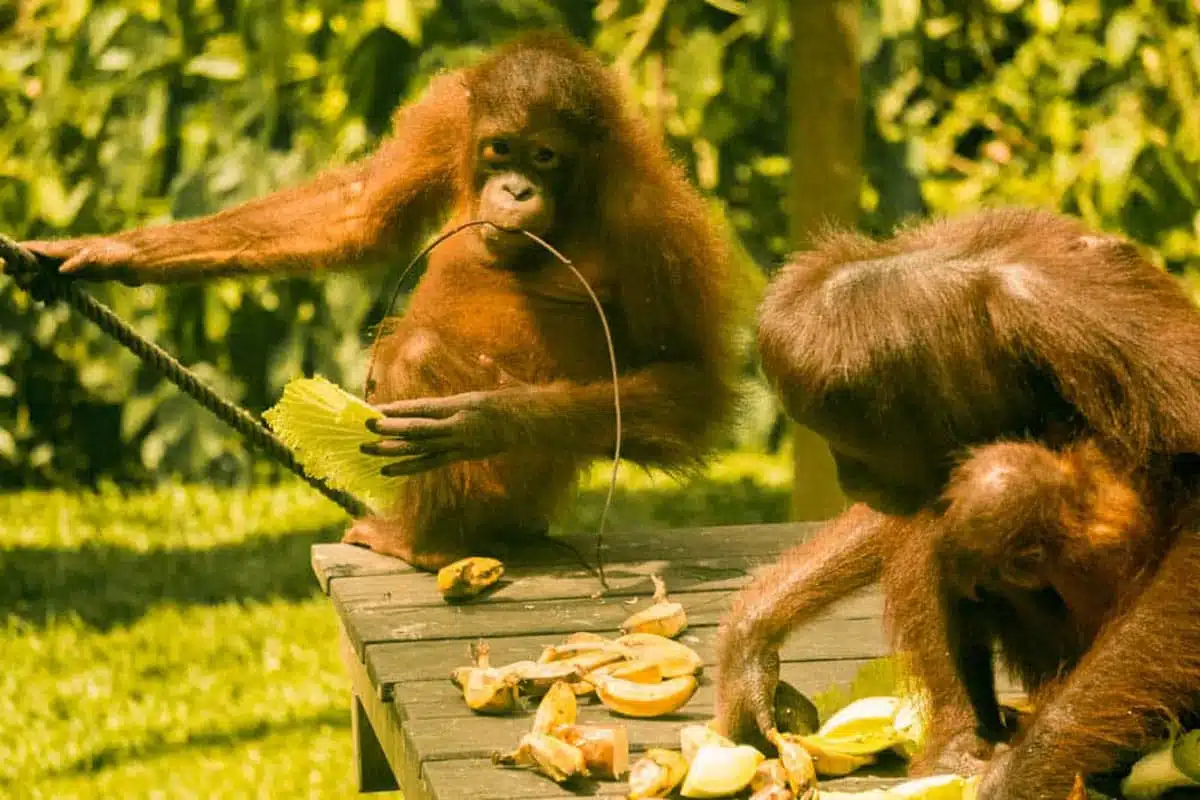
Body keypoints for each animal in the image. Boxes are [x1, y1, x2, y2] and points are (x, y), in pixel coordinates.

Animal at [19, 33, 746, 571]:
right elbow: (359, 212)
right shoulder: (447, 118)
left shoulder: (657, 225)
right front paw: (108, 250)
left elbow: (688, 382)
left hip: (524, 487)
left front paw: (480, 419)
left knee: (421, 358)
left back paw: (423, 543)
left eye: (545, 156)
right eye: (501, 149)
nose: (514, 189)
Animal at [712, 208, 1200, 799]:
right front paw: (749, 646)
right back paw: (961, 739)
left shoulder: (1091, 320)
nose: (849, 476)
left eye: (843, 442)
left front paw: (1019, 775)